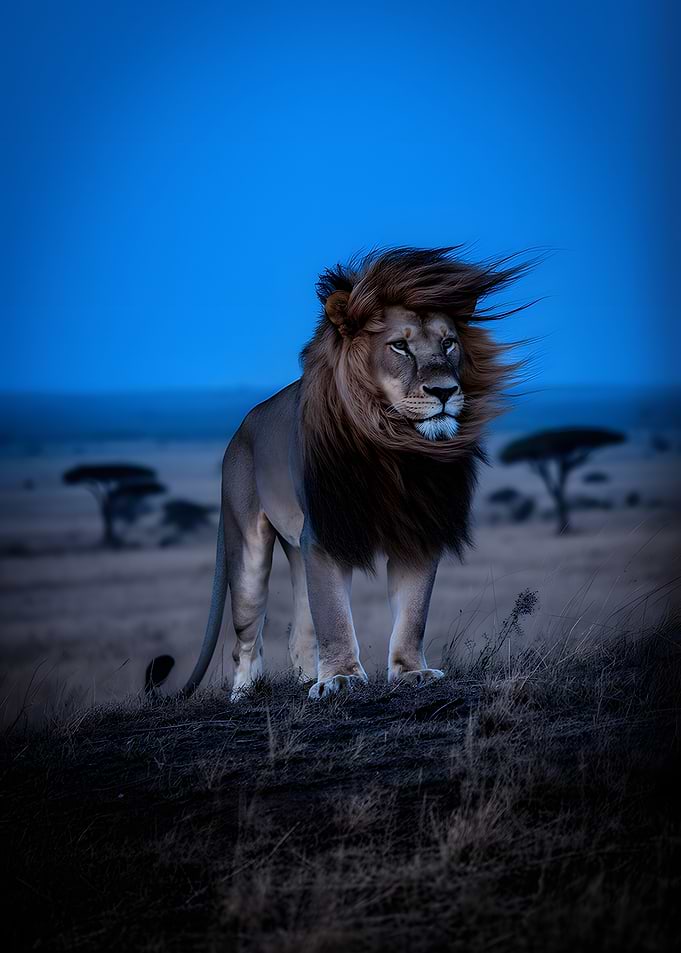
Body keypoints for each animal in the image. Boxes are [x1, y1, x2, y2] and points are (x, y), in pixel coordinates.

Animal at [146, 246, 530, 700]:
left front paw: (411, 673)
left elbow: (412, 614)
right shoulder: (326, 532)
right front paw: (342, 678)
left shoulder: (417, 530)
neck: (397, 450)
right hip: (249, 548)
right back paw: (245, 693)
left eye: (449, 343)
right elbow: (333, 616)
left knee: (299, 631)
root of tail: (241, 428)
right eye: (400, 346)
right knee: (247, 636)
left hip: (297, 547)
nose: (444, 391)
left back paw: (305, 680)